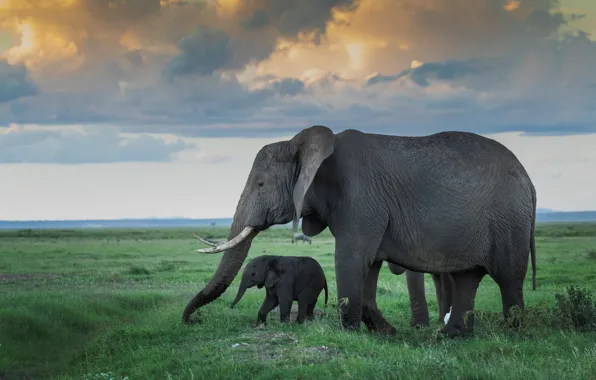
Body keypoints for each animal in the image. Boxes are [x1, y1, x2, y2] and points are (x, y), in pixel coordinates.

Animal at [185, 126, 536, 336]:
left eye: (260, 184)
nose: (189, 321)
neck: (307, 145)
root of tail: (529, 180)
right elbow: (370, 264)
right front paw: (385, 332)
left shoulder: (359, 196)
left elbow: (352, 257)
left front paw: (350, 332)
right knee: (468, 277)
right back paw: (450, 337)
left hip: (509, 219)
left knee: (508, 278)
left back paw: (512, 332)